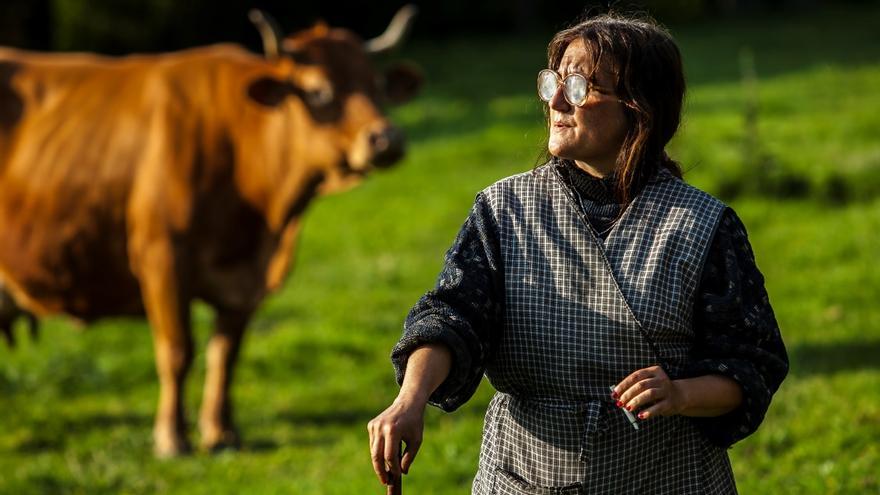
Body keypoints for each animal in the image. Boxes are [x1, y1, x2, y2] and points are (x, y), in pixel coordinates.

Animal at [0, 6, 422, 458]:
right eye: (318, 91)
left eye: (376, 84)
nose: (386, 139)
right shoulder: (162, 258)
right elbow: (177, 351)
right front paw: (172, 437)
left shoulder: (244, 279)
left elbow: (225, 354)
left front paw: (221, 431)